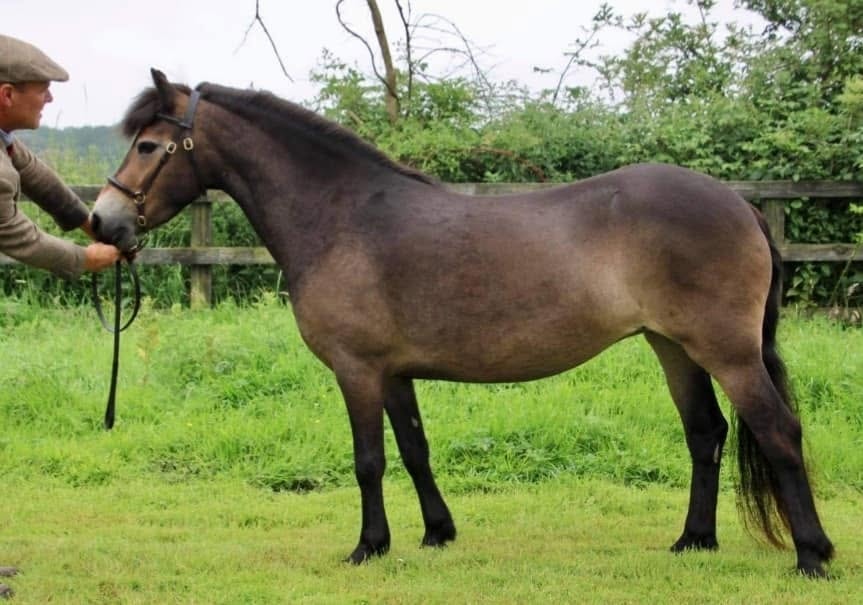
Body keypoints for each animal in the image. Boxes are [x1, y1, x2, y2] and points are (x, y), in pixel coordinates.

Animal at [91, 68, 834, 576]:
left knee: (777, 430)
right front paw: (435, 532)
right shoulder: (393, 373)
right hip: (672, 346)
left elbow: (368, 460)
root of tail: (741, 205)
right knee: (705, 433)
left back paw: (811, 554)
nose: (103, 221)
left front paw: (368, 545)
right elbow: (415, 449)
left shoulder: (357, 370)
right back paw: (692, 540)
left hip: (726, 350)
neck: (342, 216)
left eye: (151, 146)